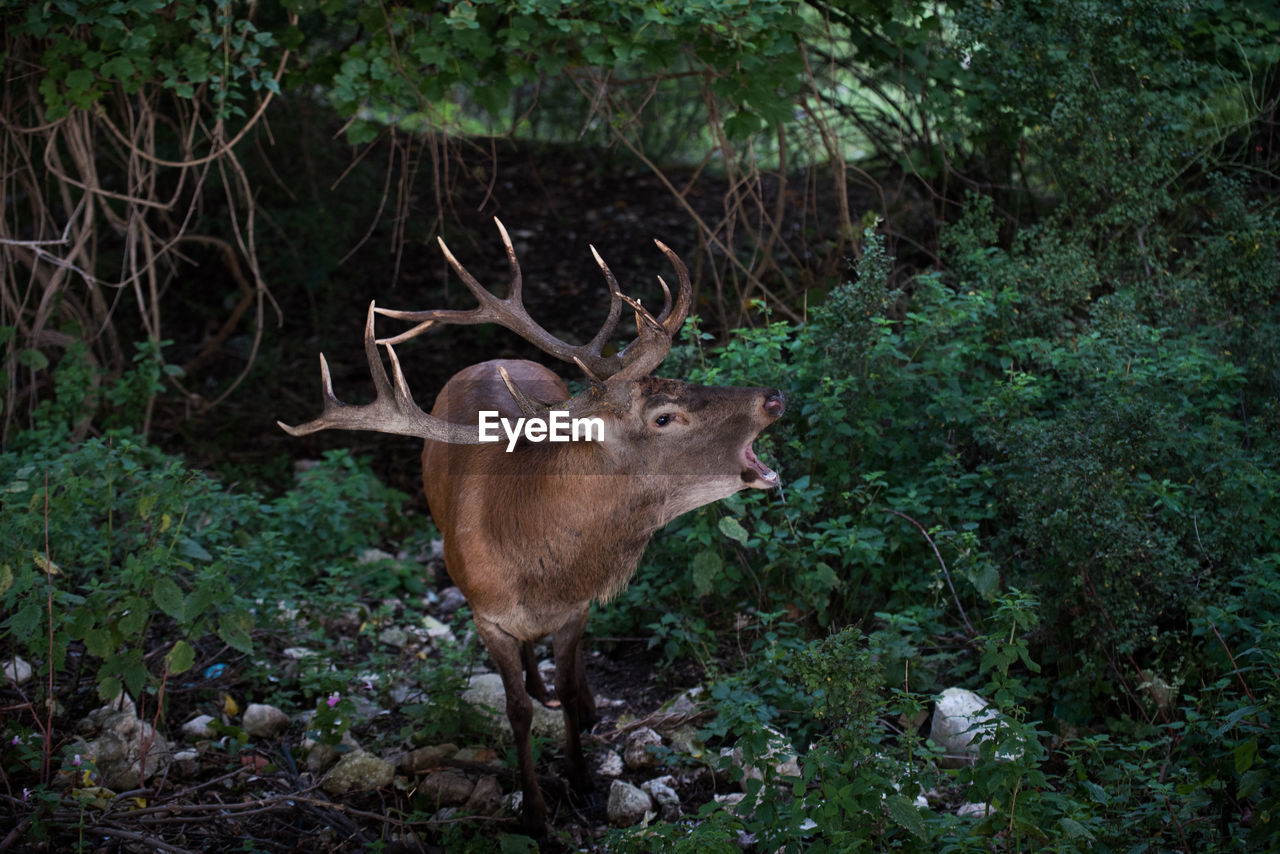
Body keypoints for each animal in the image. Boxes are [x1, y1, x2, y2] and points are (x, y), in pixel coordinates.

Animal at [275, 220, 783, 834]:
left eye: (677, 377)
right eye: (664, 416)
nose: (774, 396)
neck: (535, 568)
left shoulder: (576, 607)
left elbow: (565, 681)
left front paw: (582, 778)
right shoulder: (484, 614)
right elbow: (515, 709)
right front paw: (537, 814)